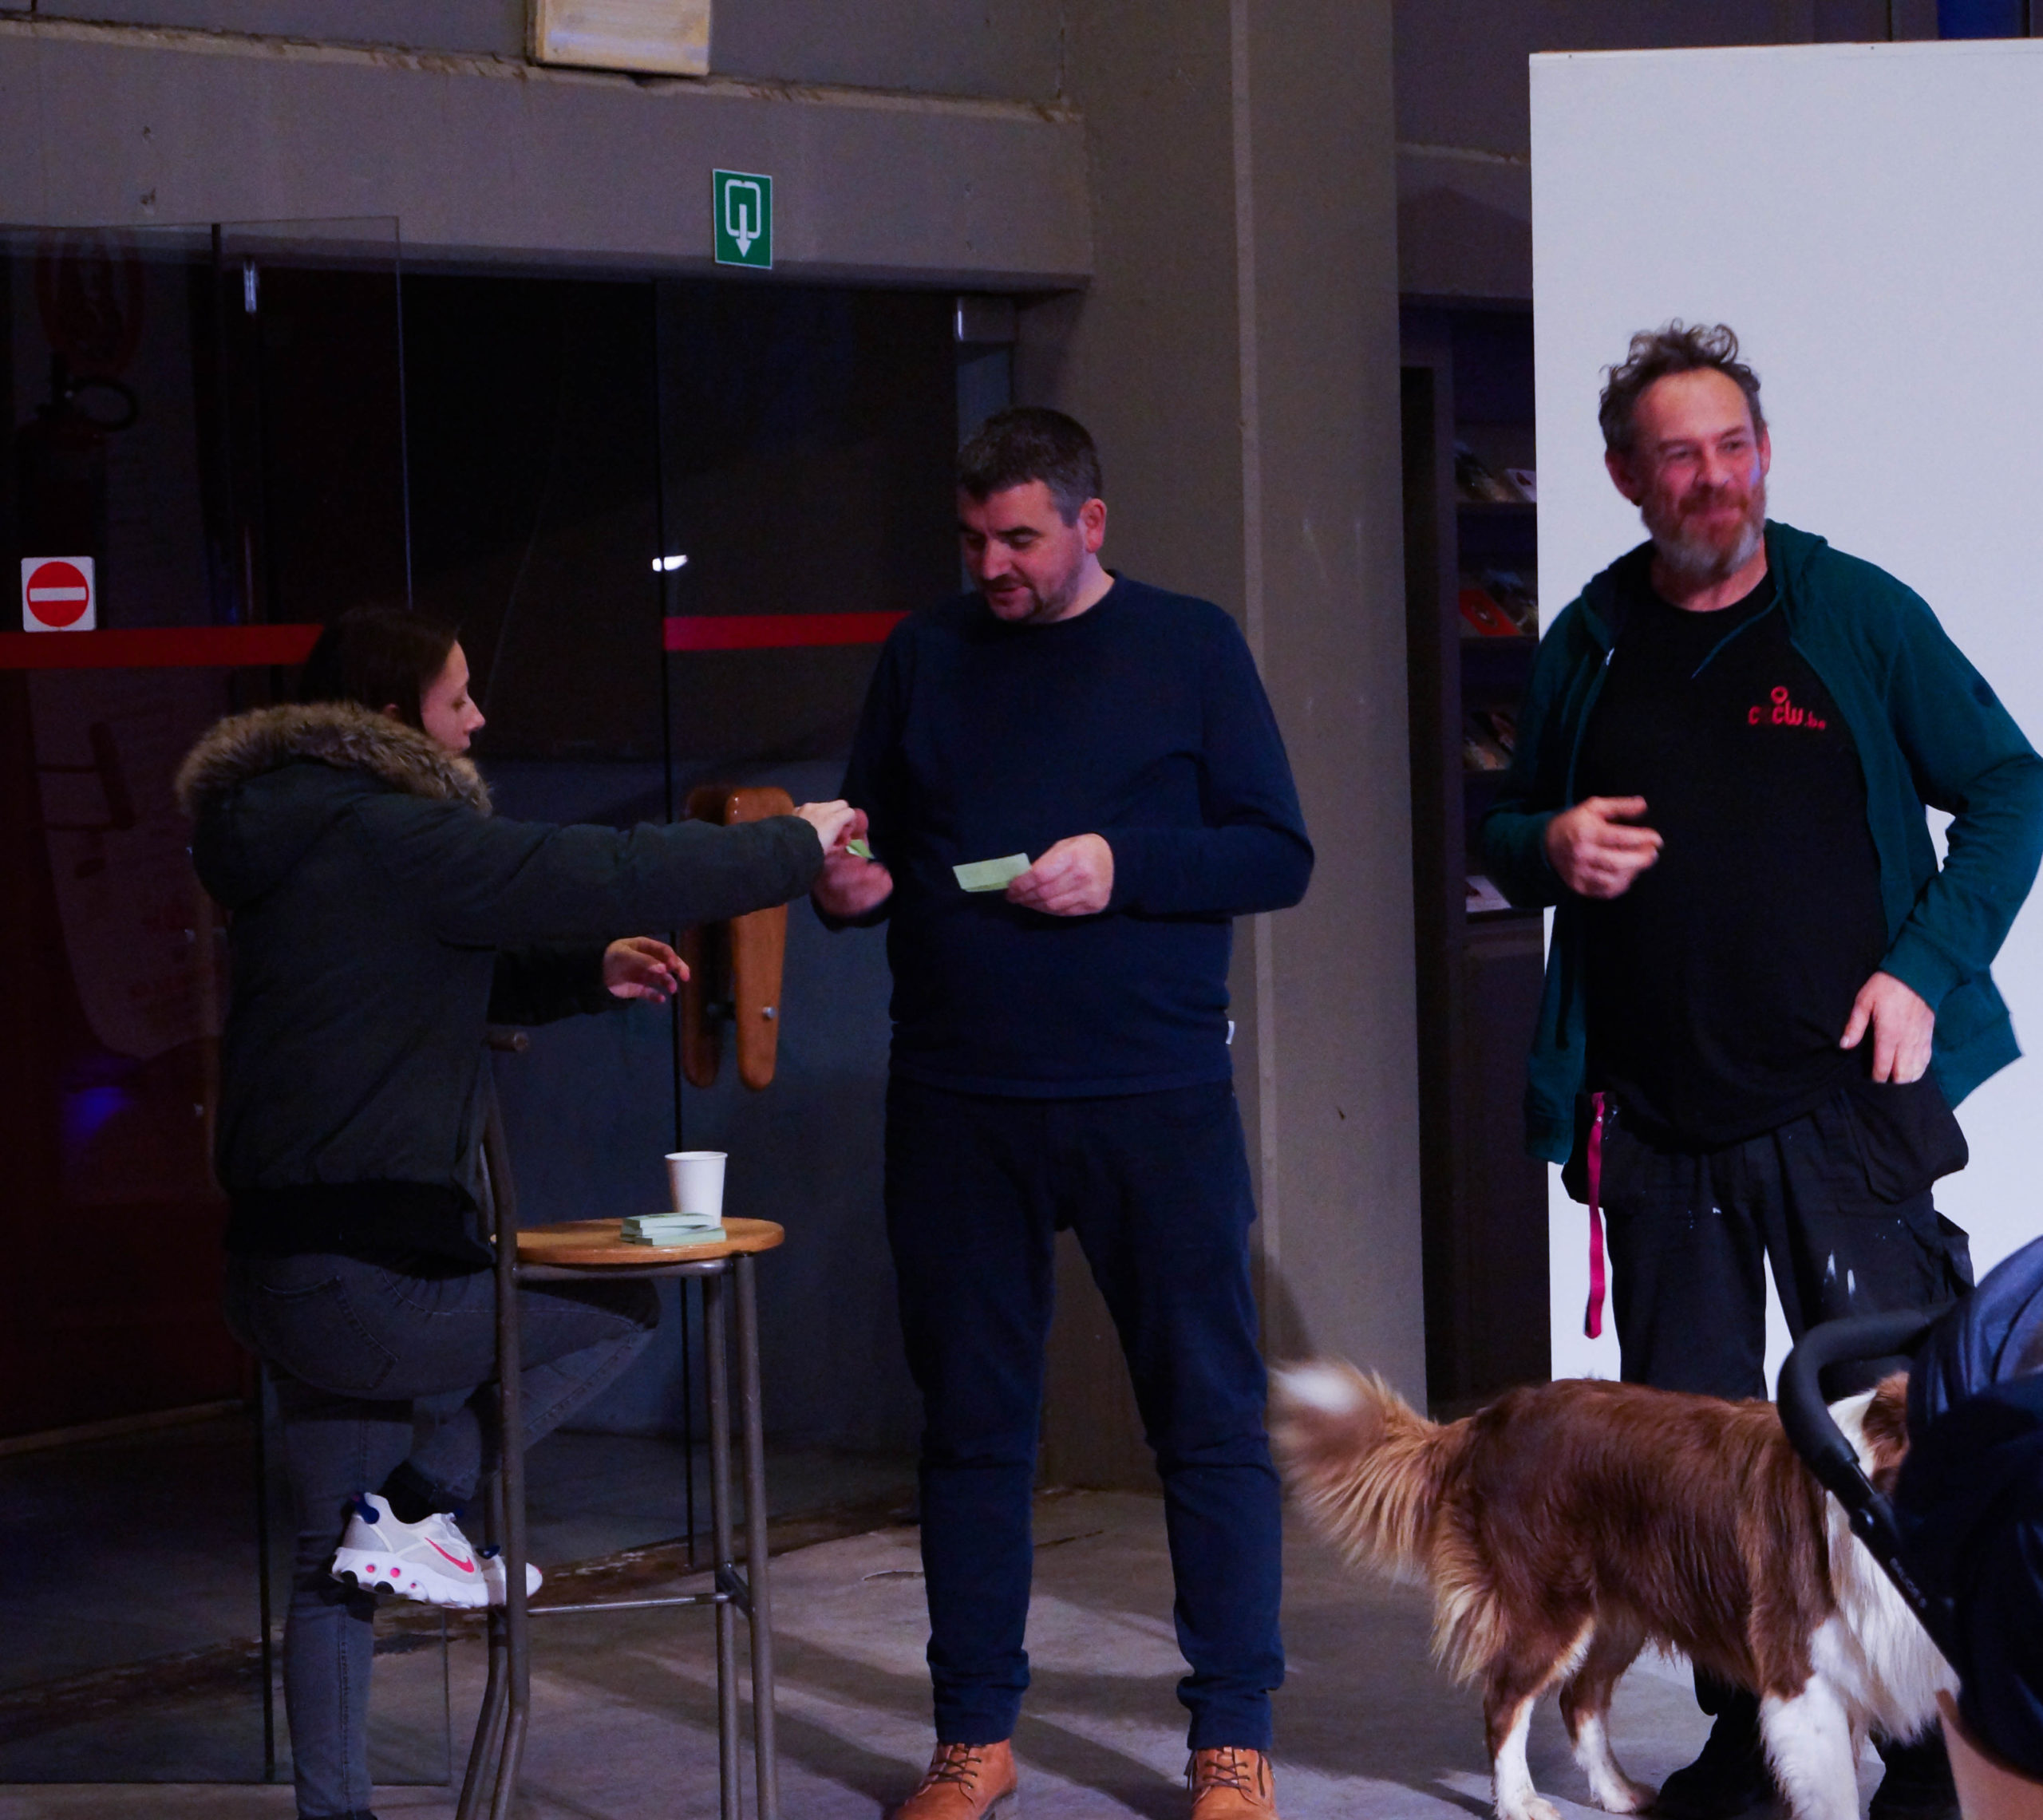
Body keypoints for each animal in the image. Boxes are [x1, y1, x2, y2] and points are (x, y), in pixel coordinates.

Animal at [1271, 1365, 1954, 1820]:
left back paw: (1618, 1791)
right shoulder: (1801, 1675)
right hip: (1548, 1607)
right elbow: (1835, 1797)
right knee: (1504, 1701)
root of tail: (1489, 1419)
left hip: (1616, 1616)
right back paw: (1519, 1801)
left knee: (1579, 1699)